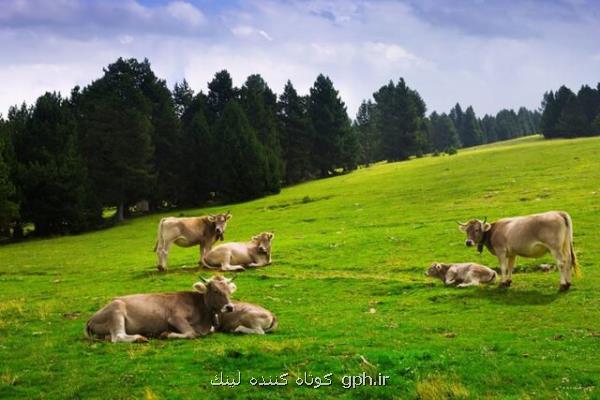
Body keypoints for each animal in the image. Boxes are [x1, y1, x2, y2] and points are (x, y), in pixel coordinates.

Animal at [85, 276, 236, 344]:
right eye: (215, 291)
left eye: (229, 291)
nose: (230, 307)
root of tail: (91, 318)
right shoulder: (175, 317)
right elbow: (191, 333)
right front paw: (166, 334)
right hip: (116, 309)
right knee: (117, 337)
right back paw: (140, 337)